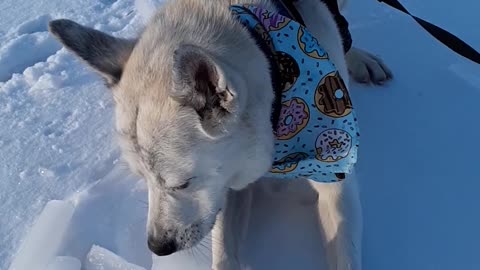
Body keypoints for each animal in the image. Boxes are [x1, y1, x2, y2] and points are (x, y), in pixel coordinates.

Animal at [49, 1, 390, 268]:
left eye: (181, 183)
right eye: (141, 178)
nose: (158, 247)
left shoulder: (335, 170)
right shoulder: (227, 185)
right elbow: (224, 250)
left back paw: (360, 58)